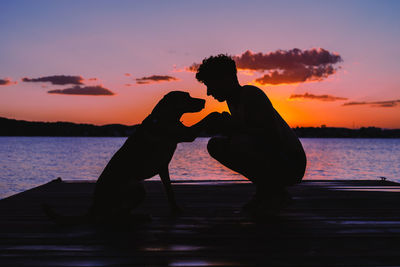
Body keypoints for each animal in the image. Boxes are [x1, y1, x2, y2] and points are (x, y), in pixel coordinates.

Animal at [45, 91, 205, 225]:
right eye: (186, 97)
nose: (204, 100)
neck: (164, 117)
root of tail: (94, 206)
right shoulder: (187, 135)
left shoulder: (163, 167)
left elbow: (170, 191)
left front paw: (175, 209)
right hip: (137, 188)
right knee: (113, 216)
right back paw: (139, 217)